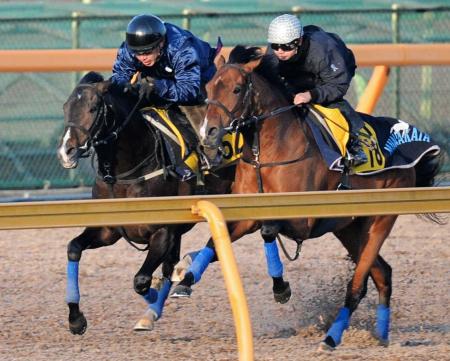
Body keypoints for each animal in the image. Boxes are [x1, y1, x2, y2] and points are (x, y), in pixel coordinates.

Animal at [56, 71, 232, 334]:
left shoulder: (162, 231)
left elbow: (142, 280)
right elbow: (74, 248)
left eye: (93, 107)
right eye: (66, 107)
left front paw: (153, 303)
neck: (126, 173)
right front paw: (76, 319)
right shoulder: (109, 230)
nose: (66, 152)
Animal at [177, 46, 442, 348]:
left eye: (236, 89)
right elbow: (215, 241)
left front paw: (281, 288)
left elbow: (269, 231)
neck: (268, 153)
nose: (207, 133)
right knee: (383, 273)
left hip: (380, 221)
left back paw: (332, 338)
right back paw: (380, 336)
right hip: (350, 228)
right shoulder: (247, 215)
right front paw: (186, 279)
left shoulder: (303, 220)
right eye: (208, 88)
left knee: (358, 284)